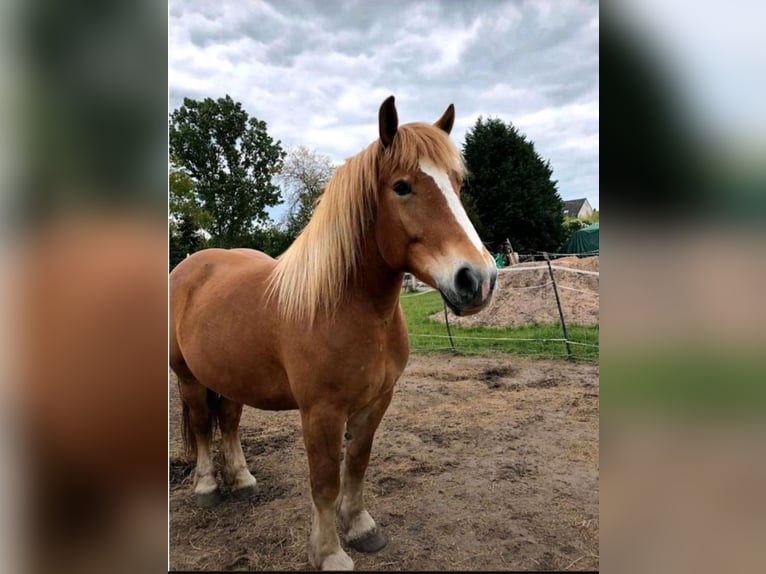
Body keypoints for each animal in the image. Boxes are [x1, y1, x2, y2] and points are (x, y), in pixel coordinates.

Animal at [170, 95, 498, 572]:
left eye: (456, 183)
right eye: (402, 186)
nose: (478, 279)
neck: (347, 306)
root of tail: (189, 267)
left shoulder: (376, 401)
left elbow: (357, 464)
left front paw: (361, 528)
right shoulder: (321, 412)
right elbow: (324, 480)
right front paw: (328, 553)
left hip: (230, 376)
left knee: (228, 422)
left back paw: (244, 479)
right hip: (189, 377)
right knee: (199, 425)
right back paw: (207, 486)